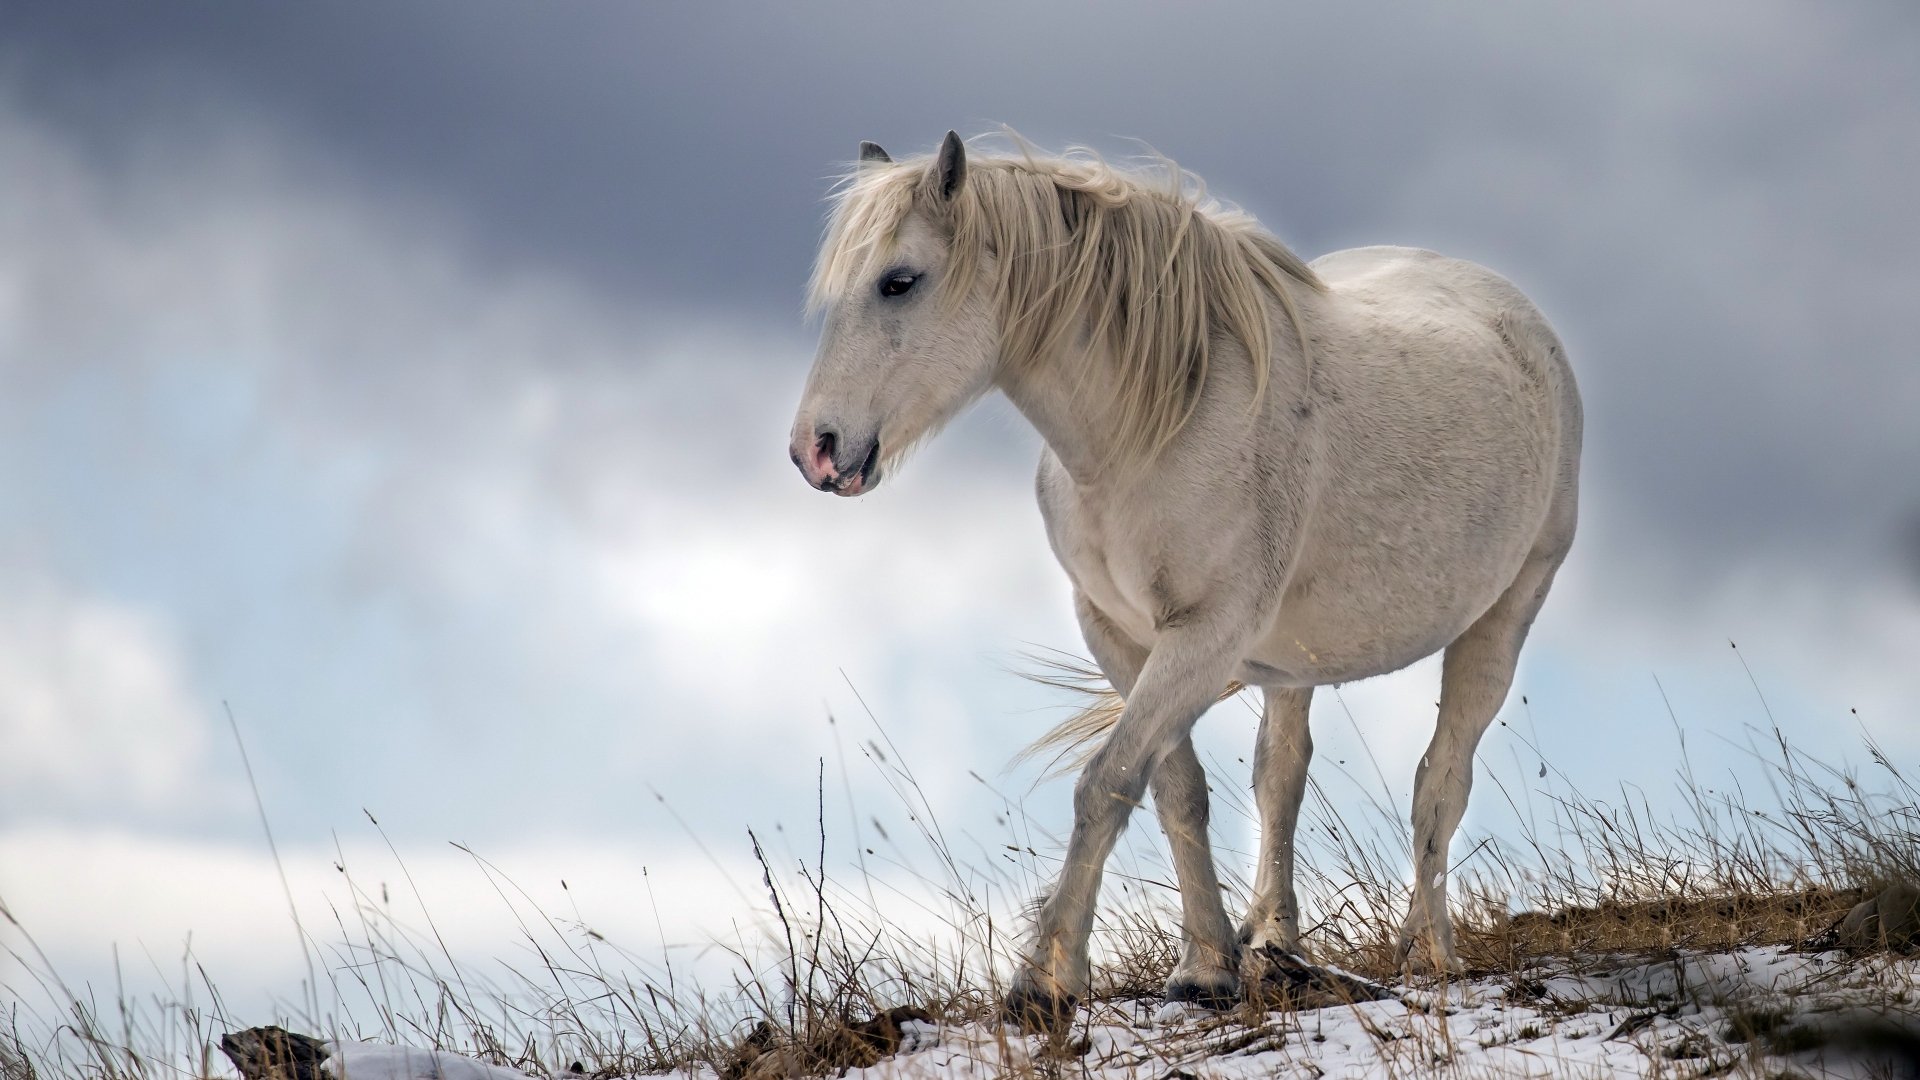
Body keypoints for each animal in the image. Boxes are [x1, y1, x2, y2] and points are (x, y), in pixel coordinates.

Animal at [788, 131, 1581, 1027]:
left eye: (899, 280)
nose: (815, 449)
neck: (1159, 417)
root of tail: (1517, 317)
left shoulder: (1204, 636)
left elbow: (1105, 784)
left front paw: (1044, 983)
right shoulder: (1121, 634)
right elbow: (1177, 789)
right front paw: (1207, 967)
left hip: (1504, 615)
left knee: (1440, 779)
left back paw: (1430, 953)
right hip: (1293, 664)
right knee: (1282, 775)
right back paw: (1275, 944)